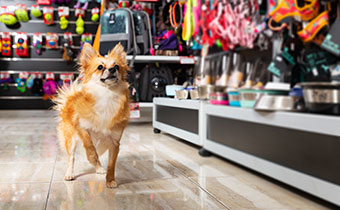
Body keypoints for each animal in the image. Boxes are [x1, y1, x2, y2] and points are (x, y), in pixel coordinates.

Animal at [53, 43, 129, 188]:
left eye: (116, 66)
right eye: (100, 67)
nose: (112, 69)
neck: (107, 96)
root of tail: (71, 97)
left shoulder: (114, 142)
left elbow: (111, 164)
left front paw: (110, 180)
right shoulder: (81, 127)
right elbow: (90, 147)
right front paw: (91, 158)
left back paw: (99, 168)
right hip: (70, 138)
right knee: (72, 157)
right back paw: (70, 173)